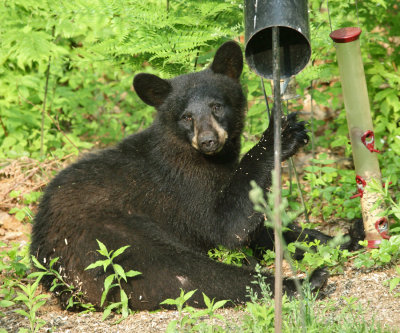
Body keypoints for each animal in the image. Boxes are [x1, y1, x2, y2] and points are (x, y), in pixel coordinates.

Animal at [30, 40, 332, 308]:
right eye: (186, 116)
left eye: (216, 106)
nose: (208, 140)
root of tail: (49, 268)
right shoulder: (184, 183)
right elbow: (226, 226)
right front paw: (280, 136)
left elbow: (264, 230)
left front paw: (329, 238)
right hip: (112, 240)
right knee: (188, 274)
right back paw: (306, 282)